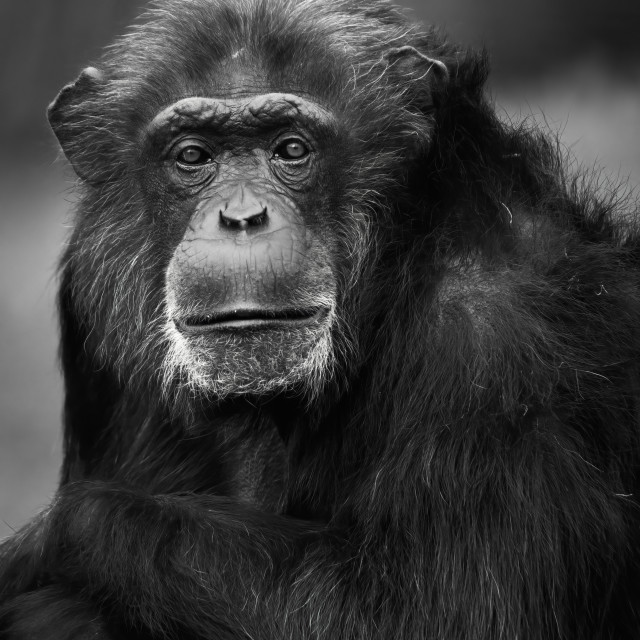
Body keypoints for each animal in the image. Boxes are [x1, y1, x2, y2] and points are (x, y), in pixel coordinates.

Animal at [1, 0, 640, 636]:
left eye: (291, 150)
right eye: (192, 156)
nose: (241, 217)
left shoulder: (500, 332)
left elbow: (416, 613)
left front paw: (36, 543)